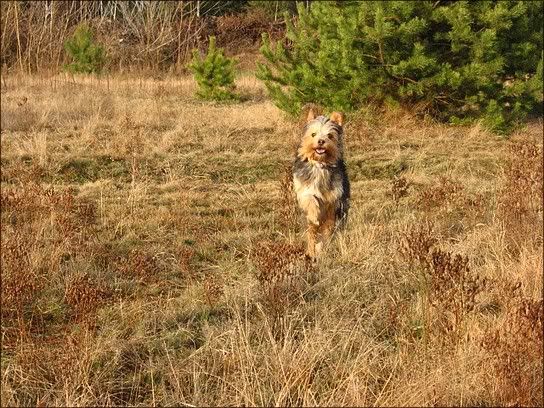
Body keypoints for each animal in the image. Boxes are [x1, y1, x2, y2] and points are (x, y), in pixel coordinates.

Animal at [293, 108, 350, 260]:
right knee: (311, 234)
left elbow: (329, 225)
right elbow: (310, 198)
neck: (320, 164)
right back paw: (311, 251)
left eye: (330, 135)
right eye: (313, 134)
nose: (321, 141)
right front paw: (314, 214)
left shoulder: (335, 197)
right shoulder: (304, 189)